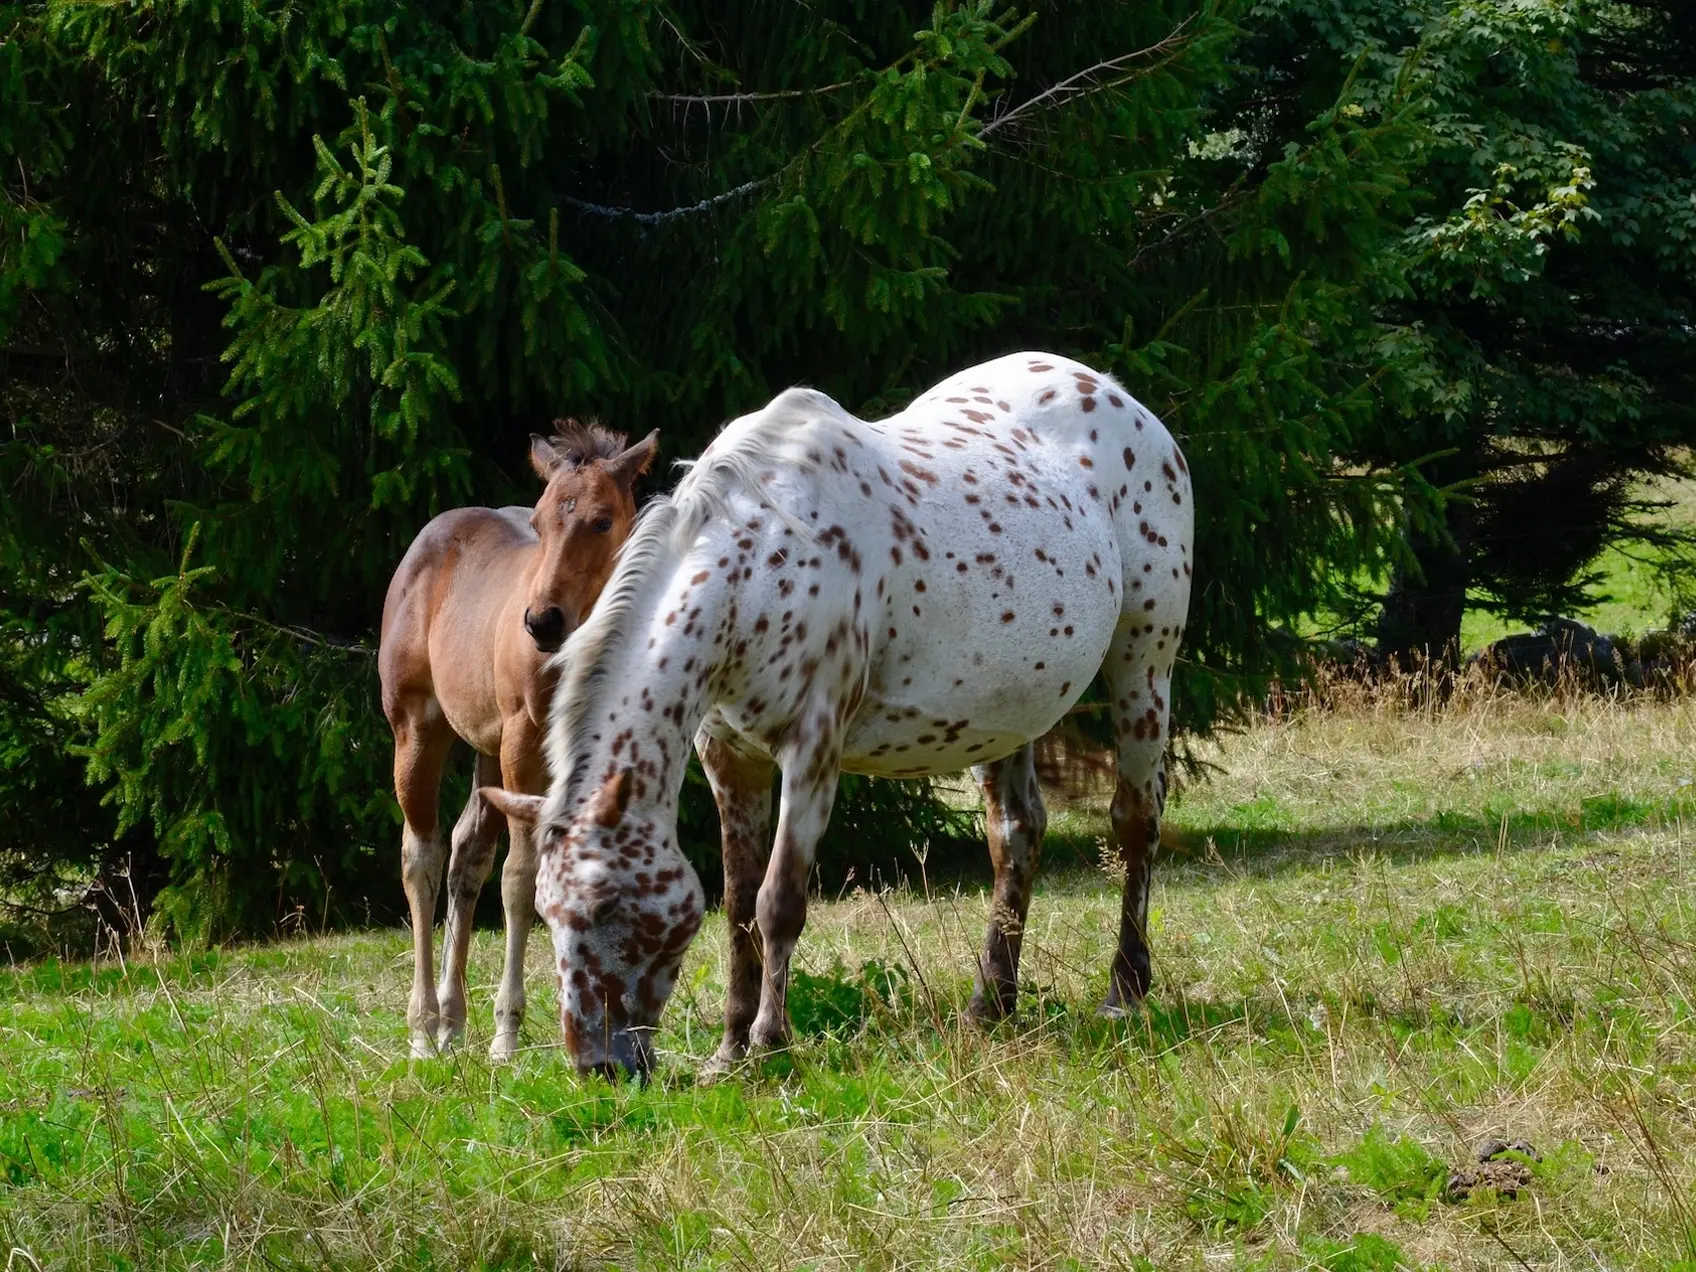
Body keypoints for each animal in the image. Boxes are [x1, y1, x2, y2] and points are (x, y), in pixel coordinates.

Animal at [378, 424, 654, 1058]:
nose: (542, 621)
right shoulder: (523, 745)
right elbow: (522, 878)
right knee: (421, 856)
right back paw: (424, 1029)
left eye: (603, 521)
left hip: (484, 746)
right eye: (539, 521)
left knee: (466, 853)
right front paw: (507, 1031)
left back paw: (453, 1020)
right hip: (418, 727)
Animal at [478, 356, 1193, 1078]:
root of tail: (1119, 396)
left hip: (1144, 665)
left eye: (606, 904)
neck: (756, 565)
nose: (599, 1065)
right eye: (545, 911)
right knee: (1016, 834)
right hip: (1007, 711)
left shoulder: (812, 751)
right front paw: (730, 1052)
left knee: (1136, 821)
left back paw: (1123, 992)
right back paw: (990, 1004)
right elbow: (738, 905)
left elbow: (778, 903)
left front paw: (770, 1039)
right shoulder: (730, 758)